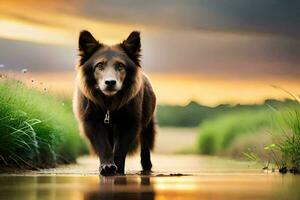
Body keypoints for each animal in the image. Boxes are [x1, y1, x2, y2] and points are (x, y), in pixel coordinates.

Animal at [73, 30, 157, 175]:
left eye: (120, 66)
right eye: (100, 65)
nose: (110, 82)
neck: (109, 103)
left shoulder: (129, 123)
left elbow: (120, 149)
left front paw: (118, 168)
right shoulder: (93, 123)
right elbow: (103, 145)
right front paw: (107, 166)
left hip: (147, 124)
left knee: (145, 143)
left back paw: (146, 166)